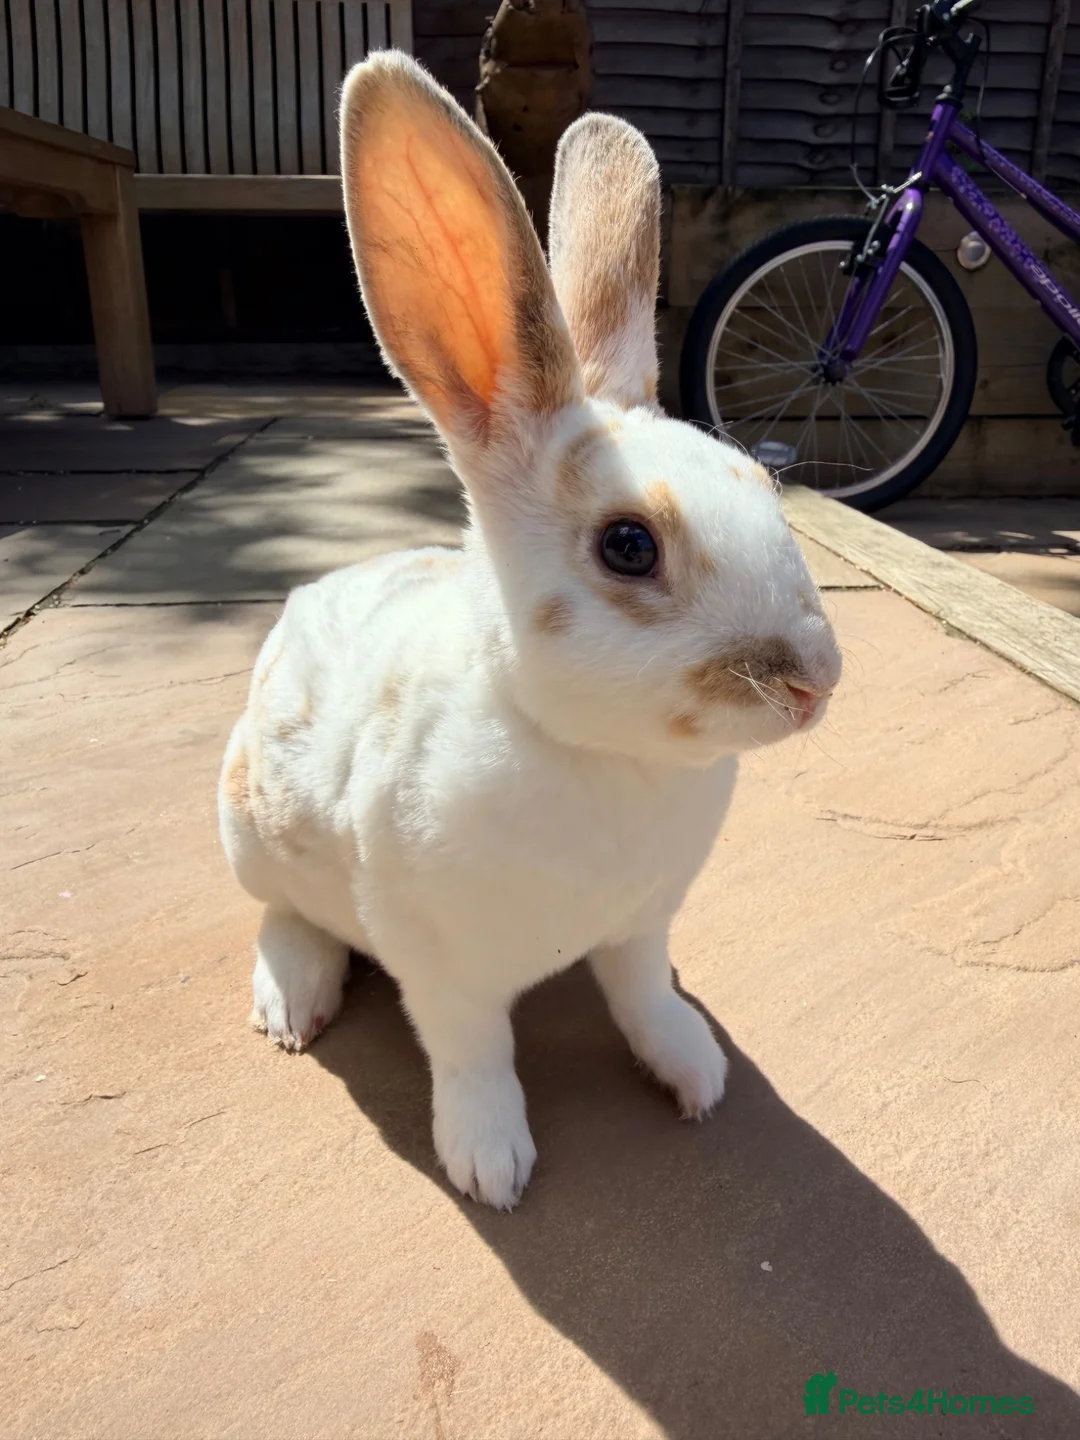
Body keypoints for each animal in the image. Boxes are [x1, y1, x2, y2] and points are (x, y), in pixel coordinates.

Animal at [218, 51, 842, 1211]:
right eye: (629, 547)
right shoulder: (441, 967)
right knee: (287, 916)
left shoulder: (643, 927)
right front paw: (491, 1164)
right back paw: (293, 999)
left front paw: (696, 1075)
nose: (816, 680)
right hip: (246, 827)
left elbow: (644, 997)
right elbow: (474, 1054)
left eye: (763, 488)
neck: (602, 761)